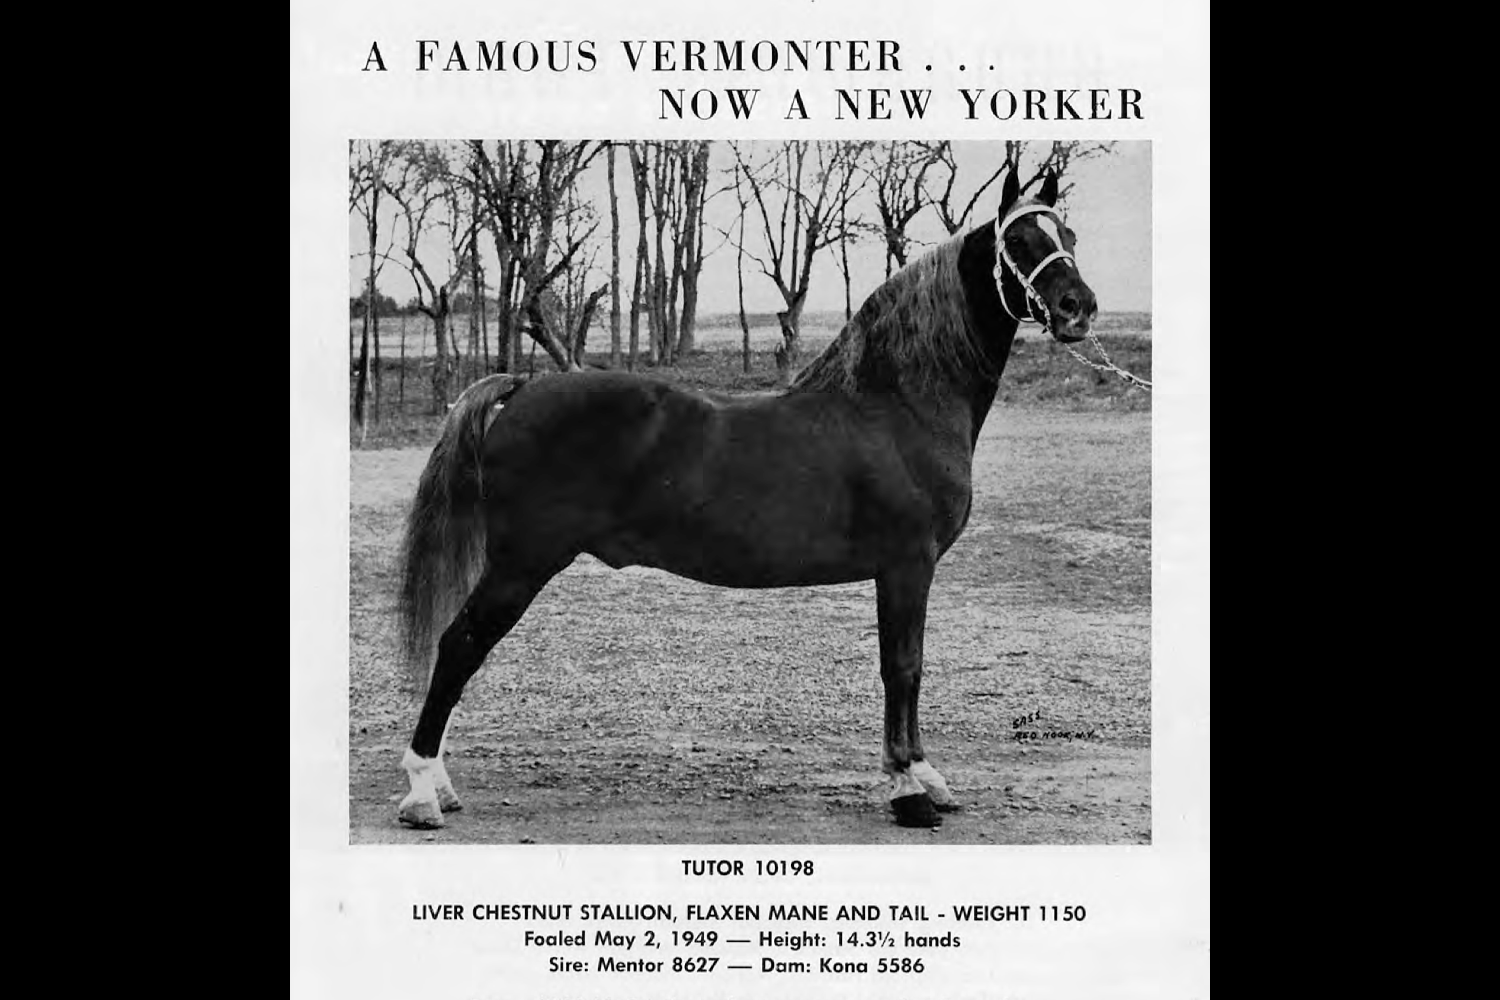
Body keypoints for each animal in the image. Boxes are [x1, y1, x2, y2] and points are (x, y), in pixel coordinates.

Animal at [393, 165, 1098, 831]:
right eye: (1018, 240)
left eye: (1068, 234)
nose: (1078, 307)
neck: (896, 405)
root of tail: (521, 387)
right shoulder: (907, 565)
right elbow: (903, 667)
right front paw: (909, 791)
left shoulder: (903, 571)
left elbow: (910, 668)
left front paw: (925, 777)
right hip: (522, 563)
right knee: (459, 646)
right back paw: (424, 792)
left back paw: (440, 786)